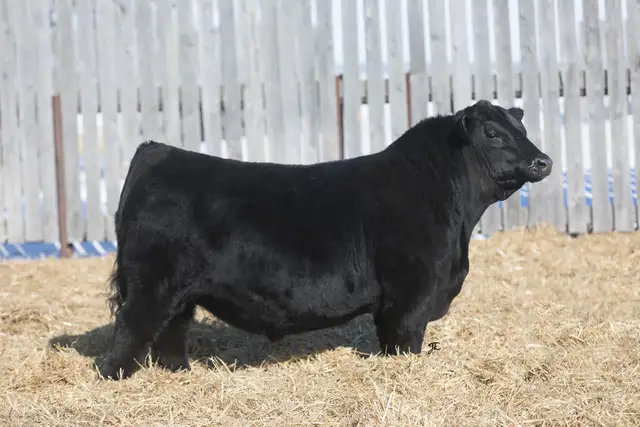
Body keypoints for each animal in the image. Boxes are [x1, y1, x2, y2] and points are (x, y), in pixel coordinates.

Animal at [97, 100, 553, 380]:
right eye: (492, 134)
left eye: (521, 126)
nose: (543, 161)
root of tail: (157, 151)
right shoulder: (411, 293)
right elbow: (404, 339)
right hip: (150, 282)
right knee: (133, 326)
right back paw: (115, 377)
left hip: (180, 291)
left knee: (172, 330)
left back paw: (180, 372)